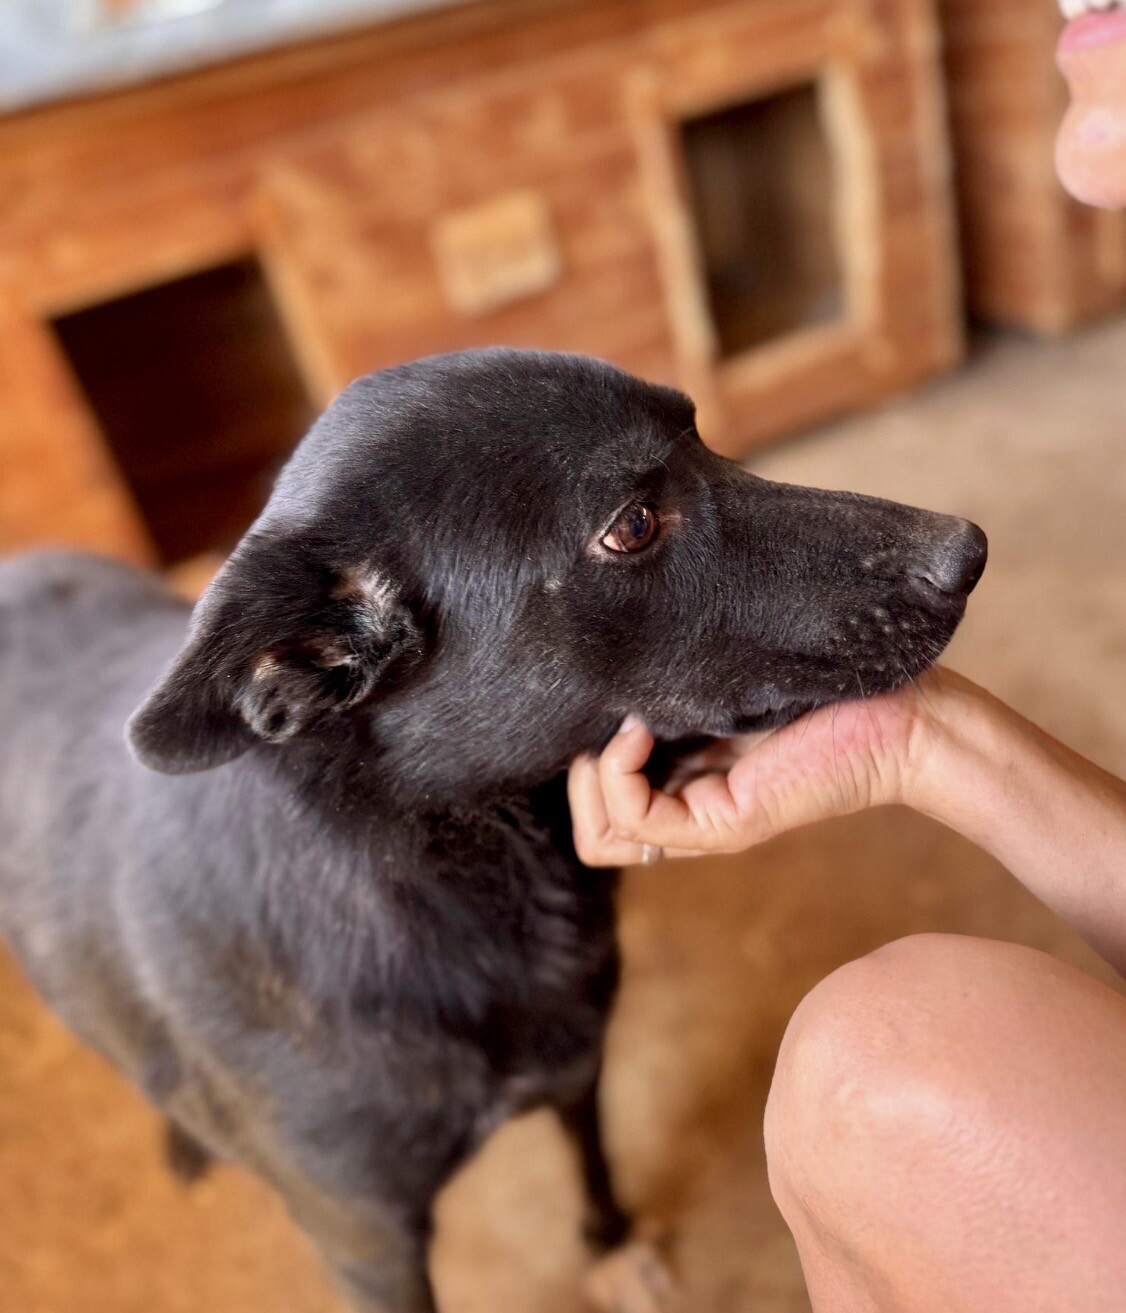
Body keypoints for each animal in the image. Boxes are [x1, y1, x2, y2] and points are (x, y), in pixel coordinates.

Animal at [0, 349, 986, 1312]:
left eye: (701, 434)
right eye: (632, 524)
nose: (968, 551)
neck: (453, 869)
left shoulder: (578, 1059)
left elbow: (594, 1159)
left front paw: (611, 1245)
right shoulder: (370, 1248)